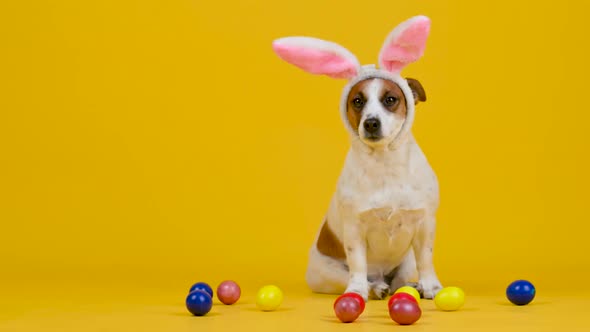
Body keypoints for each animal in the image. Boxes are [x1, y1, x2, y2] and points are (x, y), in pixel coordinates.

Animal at [272, 14, 444, 300]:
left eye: (390, 99)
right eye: (357, 101)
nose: (371, 123)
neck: (384, 164)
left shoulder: (424, 225)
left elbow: (427, 259)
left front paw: (430, 286)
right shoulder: (354, 229)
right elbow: (358, 263)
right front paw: (357, 290)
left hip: (406, 261)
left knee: (401, 279)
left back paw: (409, 286)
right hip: (327, 272)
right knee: (361, 277)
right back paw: (374, 288)